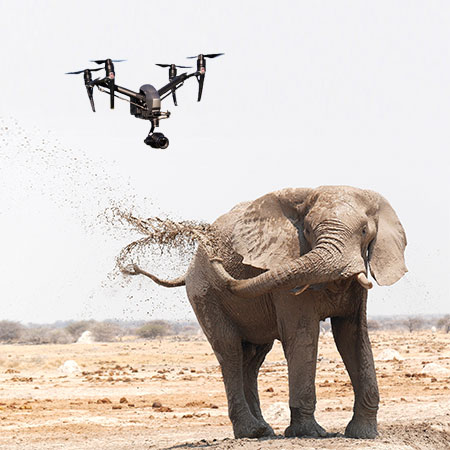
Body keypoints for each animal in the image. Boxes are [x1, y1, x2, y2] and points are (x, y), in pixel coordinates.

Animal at [130, 185, 408, 440]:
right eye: (307, 231)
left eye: (364, 231)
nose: (216, 258)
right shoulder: (285, 271)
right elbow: (303, 334)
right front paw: (308, 433)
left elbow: (352, 336)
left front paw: (363, 434)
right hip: (204, 294)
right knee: (229, 351)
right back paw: (251, 431)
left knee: (252, 358)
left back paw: (264, 430)